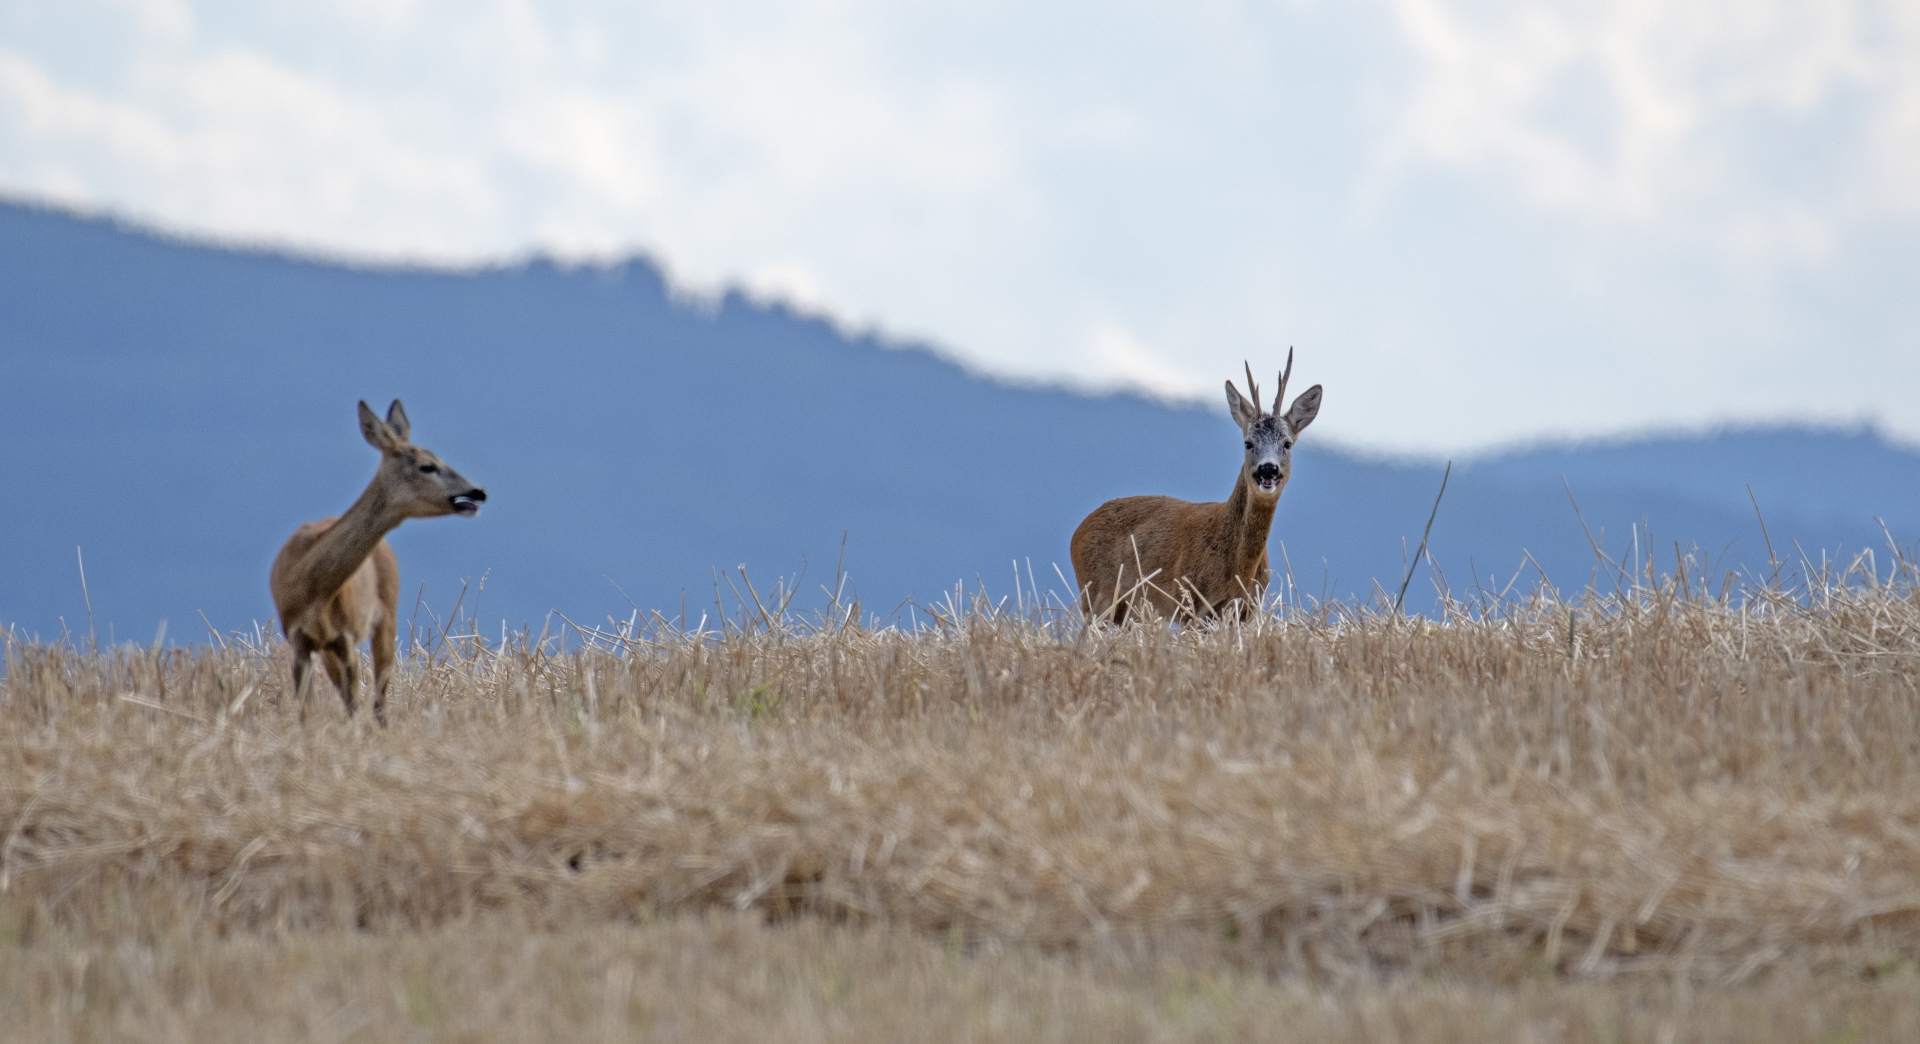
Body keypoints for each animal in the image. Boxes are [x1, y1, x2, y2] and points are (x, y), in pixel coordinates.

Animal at [274, 399, 491, 725]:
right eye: (427, 465)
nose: (478, 491)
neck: (313, 588)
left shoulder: (347, 636)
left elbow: (356, 705)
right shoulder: (299, 640)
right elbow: (307, 712)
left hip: (386, 615)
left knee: (378, 700)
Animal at [1067, 355, 1320, 625]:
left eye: (1287, 443)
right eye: (1248, 443)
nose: (1268, 469)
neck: (1239, 568)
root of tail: (1077, 531)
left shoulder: (1247, 611)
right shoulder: (1190, 602)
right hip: (1096, 596)